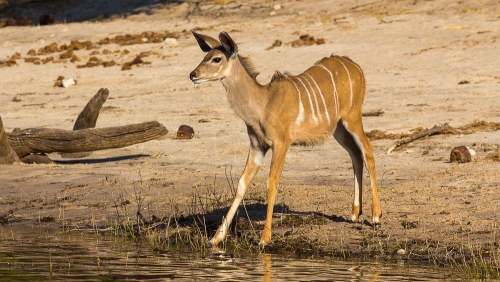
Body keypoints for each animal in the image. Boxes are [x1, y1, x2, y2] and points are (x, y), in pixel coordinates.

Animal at [189, 31, 380, 247]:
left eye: (216, 58)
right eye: (205, 55)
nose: (193, 74)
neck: (263, 103)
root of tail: (356, 67)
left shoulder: (281, 144)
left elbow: (271, 183)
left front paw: (264, 239)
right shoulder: (257, 146)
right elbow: (241, 184)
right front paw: (216, 238)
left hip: (352, 117)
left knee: (367, 150)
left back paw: (376, 216)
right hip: (338, 128)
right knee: (356, 155)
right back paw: (355, 213)